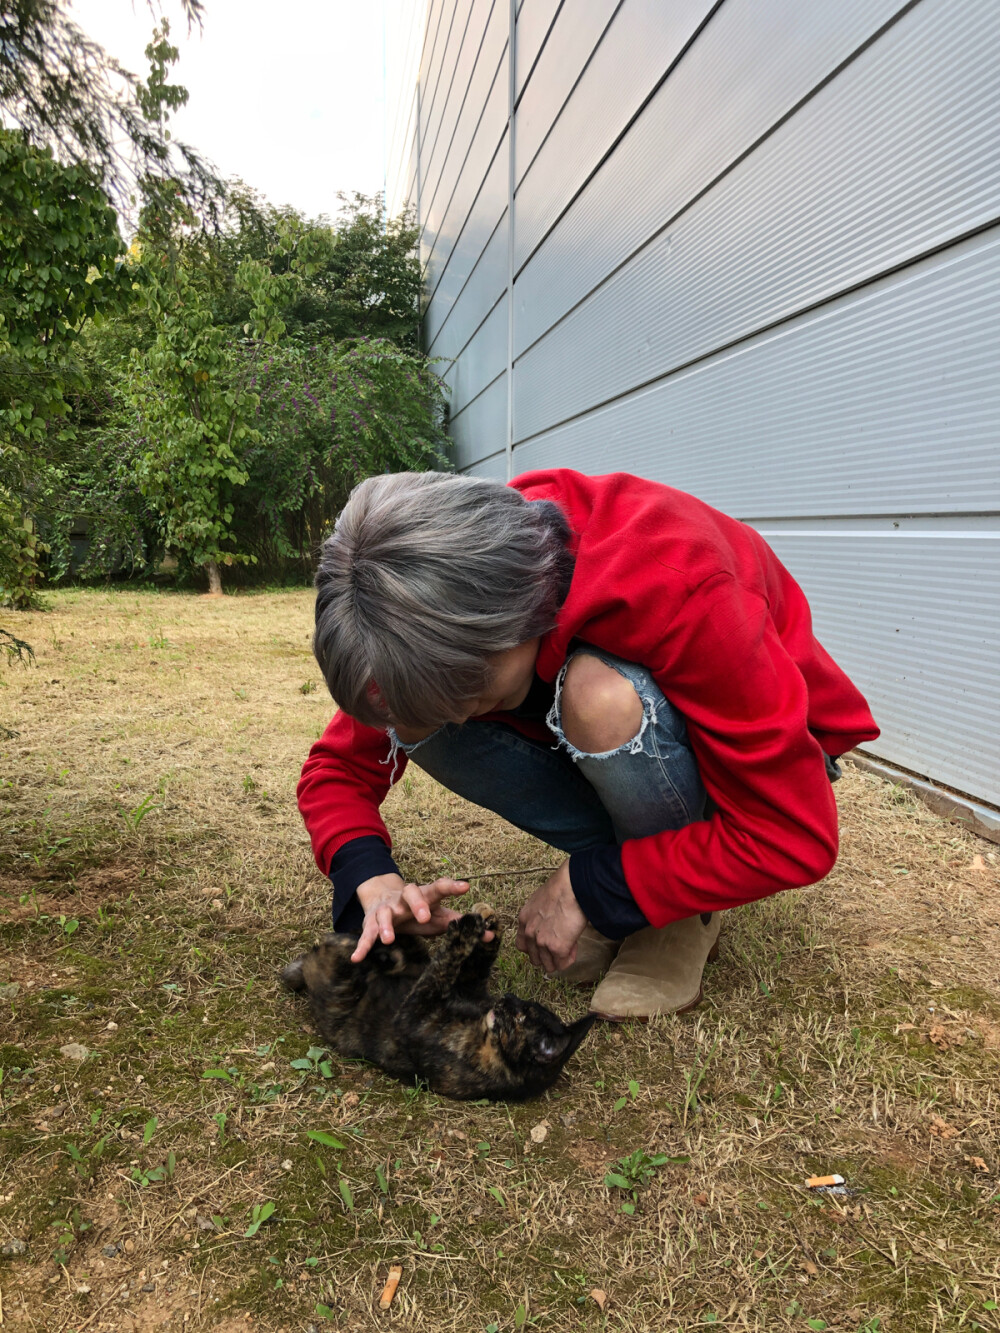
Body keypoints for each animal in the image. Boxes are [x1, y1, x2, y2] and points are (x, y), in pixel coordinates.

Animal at [280, 906, 594, 1103]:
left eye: (521, 1016)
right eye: (525, 1005)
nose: (507, 998)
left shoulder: (415, 1017)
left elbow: (441, 968)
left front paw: (464, 932)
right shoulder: (468, 986)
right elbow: (473, 965)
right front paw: (489, 923)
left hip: (341, 976)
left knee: (344, 948)